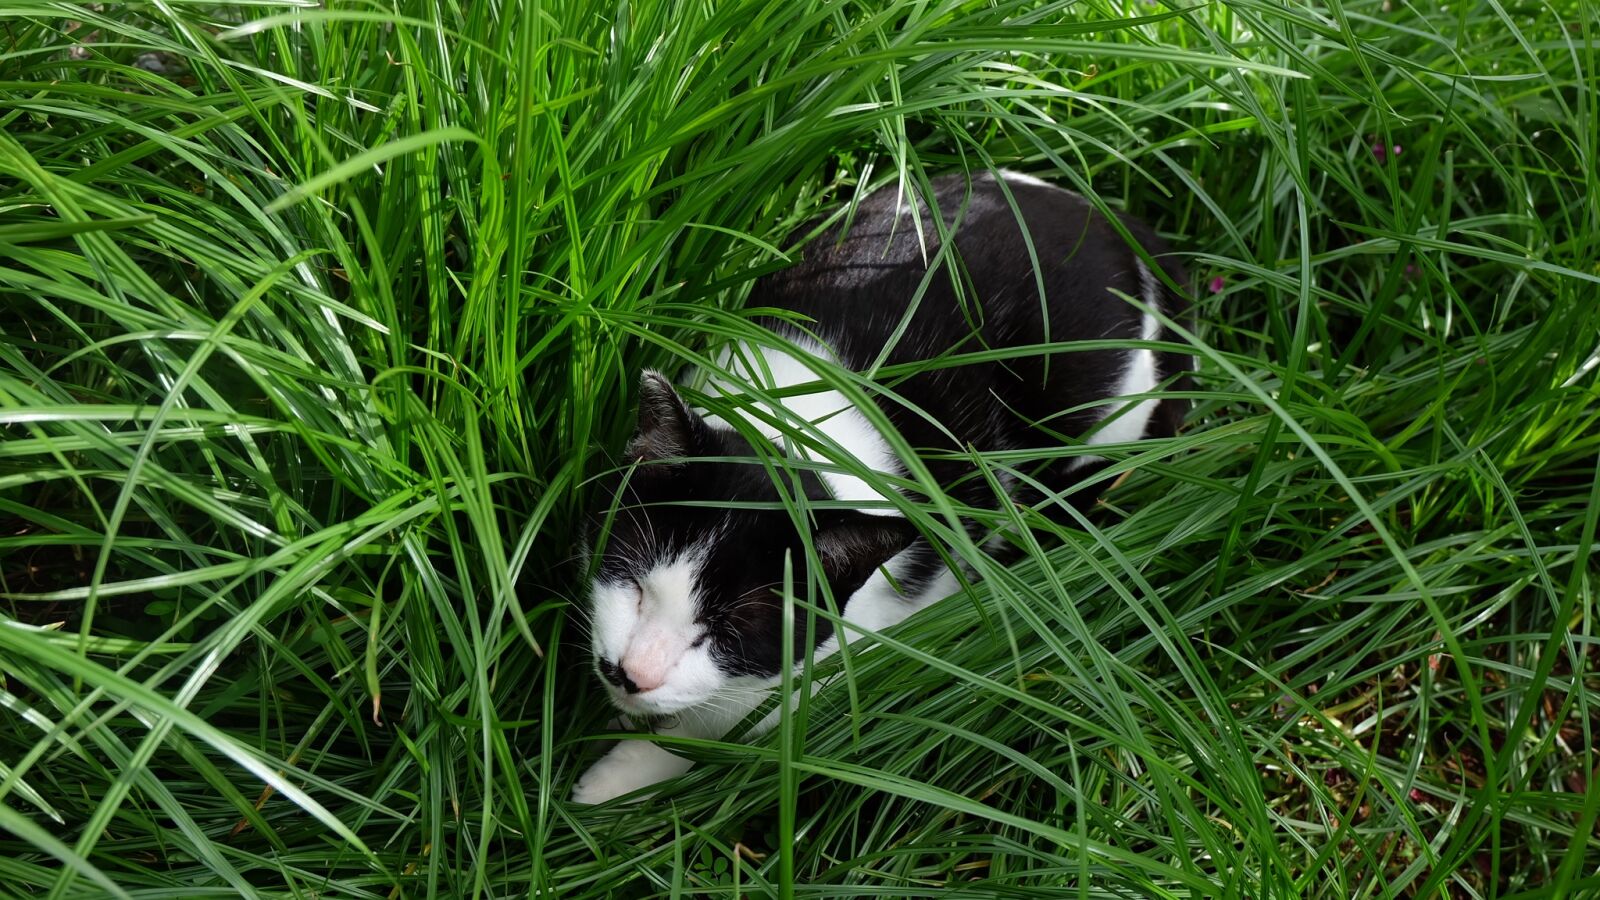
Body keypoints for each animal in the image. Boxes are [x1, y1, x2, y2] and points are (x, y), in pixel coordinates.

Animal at [569, 168, 1184, 797]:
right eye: (635, 586)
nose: (630, 673)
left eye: (728, 632)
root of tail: (1115, 223)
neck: (799, 429)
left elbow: (729, 722)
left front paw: (622, 775)